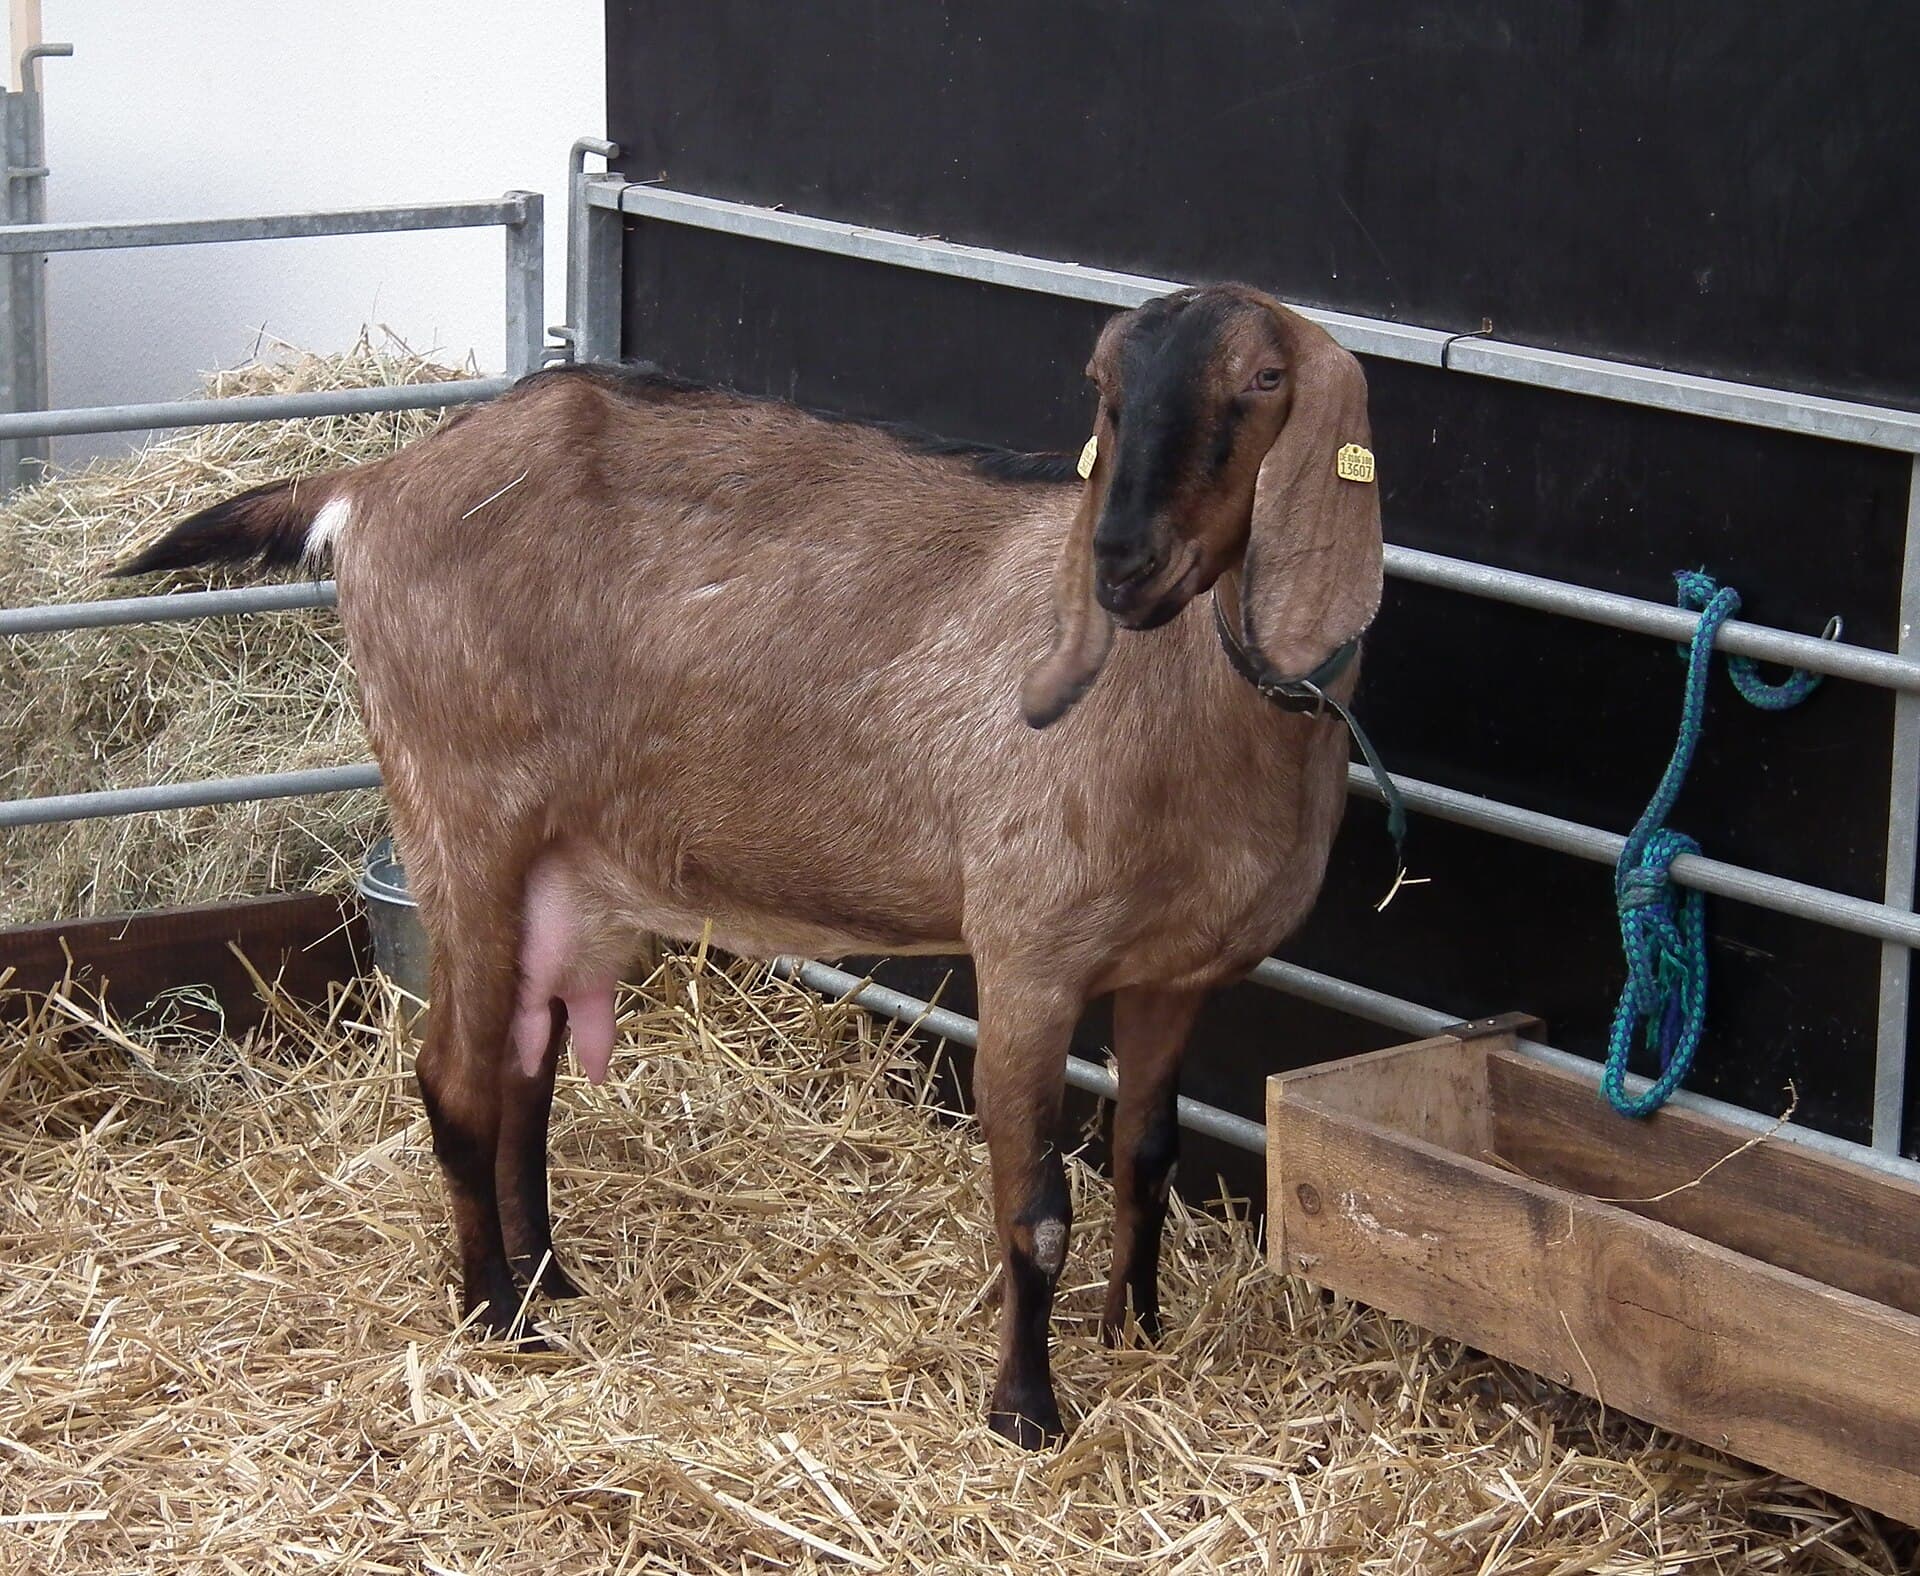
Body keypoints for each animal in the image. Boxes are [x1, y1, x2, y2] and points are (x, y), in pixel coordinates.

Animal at [118, 283, 1383, 1447]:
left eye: (1265, 381)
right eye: (1106, 388)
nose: (1121, 563)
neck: (1186, 714)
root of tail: (374, 484)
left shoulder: (1177, 976)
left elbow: (1148, 1156)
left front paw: (1139, 1334)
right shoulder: (1029, 956)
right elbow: (1035, 1205)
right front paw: (1025, 1410)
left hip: (561, 864)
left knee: (526, 1066)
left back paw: (548, 1276)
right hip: (458, 813)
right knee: (456, 1078)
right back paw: (497, 1318)